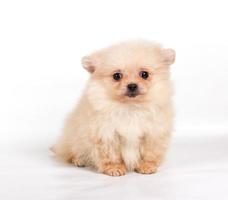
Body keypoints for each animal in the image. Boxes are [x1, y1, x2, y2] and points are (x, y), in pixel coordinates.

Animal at [52, 39, 175, 176]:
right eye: (117, 76)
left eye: (144, 74)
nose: (132, 85)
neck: (130, 107)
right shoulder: (107, 134)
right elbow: (112, 155)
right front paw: (114, 168)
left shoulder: (153, 133)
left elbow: (149, 153)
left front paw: (146, 166)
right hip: (74, 139)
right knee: (71, 152)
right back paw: (79, 160)